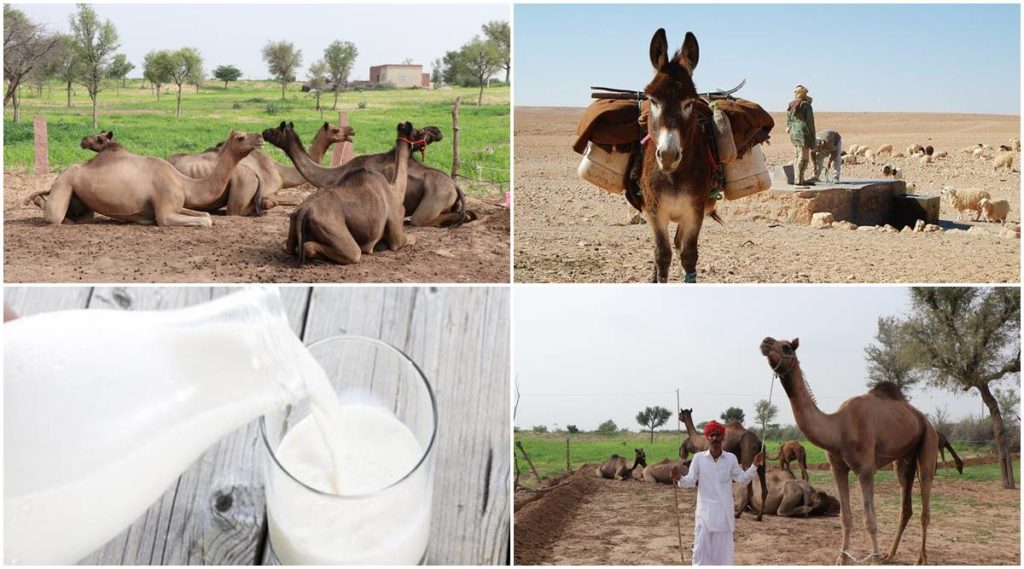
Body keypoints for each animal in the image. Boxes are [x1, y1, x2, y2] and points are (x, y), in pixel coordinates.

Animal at [32, 129, 264, 225]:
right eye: (241, 137)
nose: (261, 137)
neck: (184, 183)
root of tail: (57, 179)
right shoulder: (165, 212)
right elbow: (205, 221)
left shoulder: (177, 205)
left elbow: (206, 215)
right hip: (65, 183)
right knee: (53, 215)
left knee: (82, 216)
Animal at [264, 122, 415, 264]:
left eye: (277, 129)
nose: (264, 132)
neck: (394, 190)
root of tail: (302, 213)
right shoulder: (397, 236)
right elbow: (410, 239)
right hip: (333, 231)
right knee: (351, 252)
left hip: (294, 219)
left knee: (289, 246)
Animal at [761, 337, 937, 564]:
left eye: (786, 347)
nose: (765, 342)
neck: (838, 427)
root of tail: (925, 421)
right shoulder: (837, 468)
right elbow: (845, 518)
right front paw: (842, 559)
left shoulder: (866, 468)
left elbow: (870, 519)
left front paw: (874, 560)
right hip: (904, 460)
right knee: (905, 507)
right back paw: (890, 554)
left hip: (929, 443)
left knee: (925, 506)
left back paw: (919, 559)